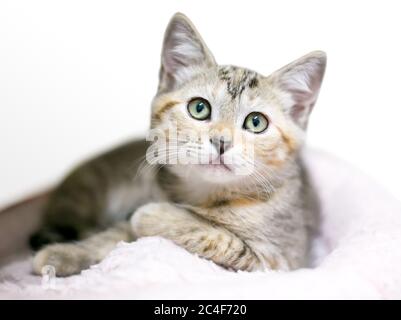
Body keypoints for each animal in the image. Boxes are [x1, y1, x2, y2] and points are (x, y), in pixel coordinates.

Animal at [31, 12, 324, 276]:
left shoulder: (276, 261)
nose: (221, 141)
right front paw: (67, 253)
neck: (206, 195)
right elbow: (116, 235)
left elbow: (218, 237)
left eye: (256, 122)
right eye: (199, 108)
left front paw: (154, 215)